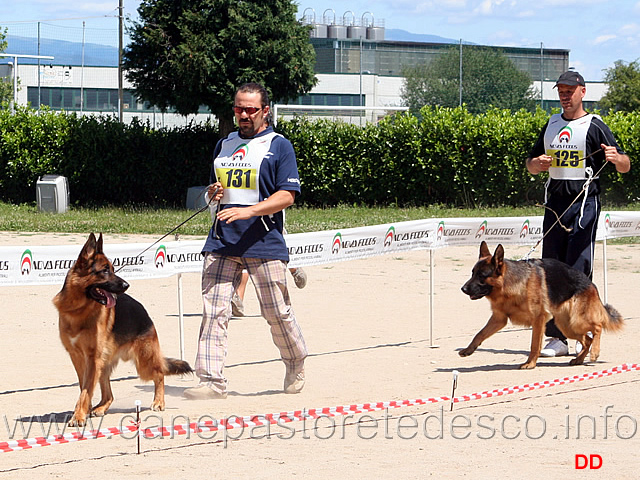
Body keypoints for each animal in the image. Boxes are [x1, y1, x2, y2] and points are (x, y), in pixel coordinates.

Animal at [55, 234, 191, 426]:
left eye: (112, 269)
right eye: (105, 271)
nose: (127, 285)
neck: (79, 308)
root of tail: (144, 312)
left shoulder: (91, 358)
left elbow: (86, 390)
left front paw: (79, 415)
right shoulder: (77, 357)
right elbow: (84, 388)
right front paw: (84, 411)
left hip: (143, 362)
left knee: (159, 374)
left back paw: (159, 401)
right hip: (104, 365)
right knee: (109, 395)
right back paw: (100, 408)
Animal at [458, 242, 624, 370]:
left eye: (482, 275)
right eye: (472, 273)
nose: (463, 289)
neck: (509, 284)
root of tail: (590, 283)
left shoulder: (538, 320)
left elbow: (534, 345)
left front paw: (530, 364)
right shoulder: (499, 319)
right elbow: (479, 333)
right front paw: (468, 349)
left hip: (577, 321)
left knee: (597, 327)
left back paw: (594, 352)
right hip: (566, 326)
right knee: (587, 340)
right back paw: (579, 359)